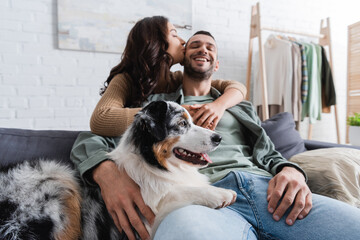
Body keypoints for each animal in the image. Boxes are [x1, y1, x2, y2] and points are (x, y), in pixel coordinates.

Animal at [0, 101, 236, 240]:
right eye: (181, 124)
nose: (218, 138)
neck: (152, 164)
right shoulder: (146, 219)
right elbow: (173, 194)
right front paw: (219, 194)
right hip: (55, 178)